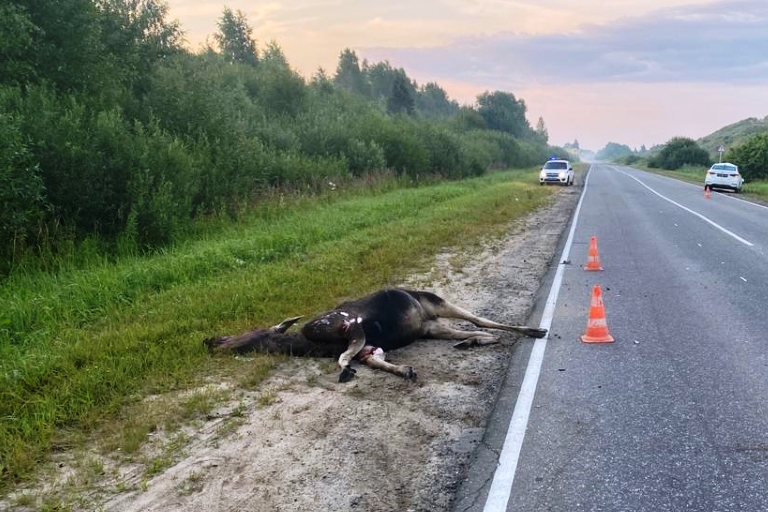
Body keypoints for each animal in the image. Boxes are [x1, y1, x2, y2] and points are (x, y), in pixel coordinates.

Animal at [204, 288, 544, 380]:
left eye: (248, 332)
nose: (209, 340)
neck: (311, 345)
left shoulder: (350, 325)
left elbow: (344, 355)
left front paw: (344, 369)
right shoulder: (369, 349)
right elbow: (374, 361)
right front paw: (405, 370)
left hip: (437, 301)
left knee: (481, 319)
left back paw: (535, 329)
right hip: (431, 328)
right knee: (471, 330)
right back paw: (469, 342)